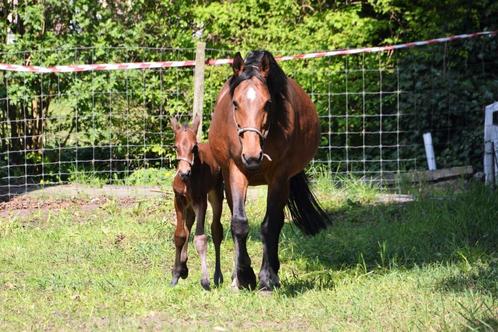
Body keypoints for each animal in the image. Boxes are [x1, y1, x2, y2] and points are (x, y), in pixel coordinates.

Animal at [171, 115, 226, 290]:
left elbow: (200, 238)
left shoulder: (200, 201)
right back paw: (183, 267)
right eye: (175, 146)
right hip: (189, 205)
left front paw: (205, 280)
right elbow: (180, 235)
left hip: (215, 193)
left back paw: (217, 276)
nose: (184, 172)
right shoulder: (178, 199)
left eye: (194, 147)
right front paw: (175, 274)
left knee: (216, 231)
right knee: (188, 224)